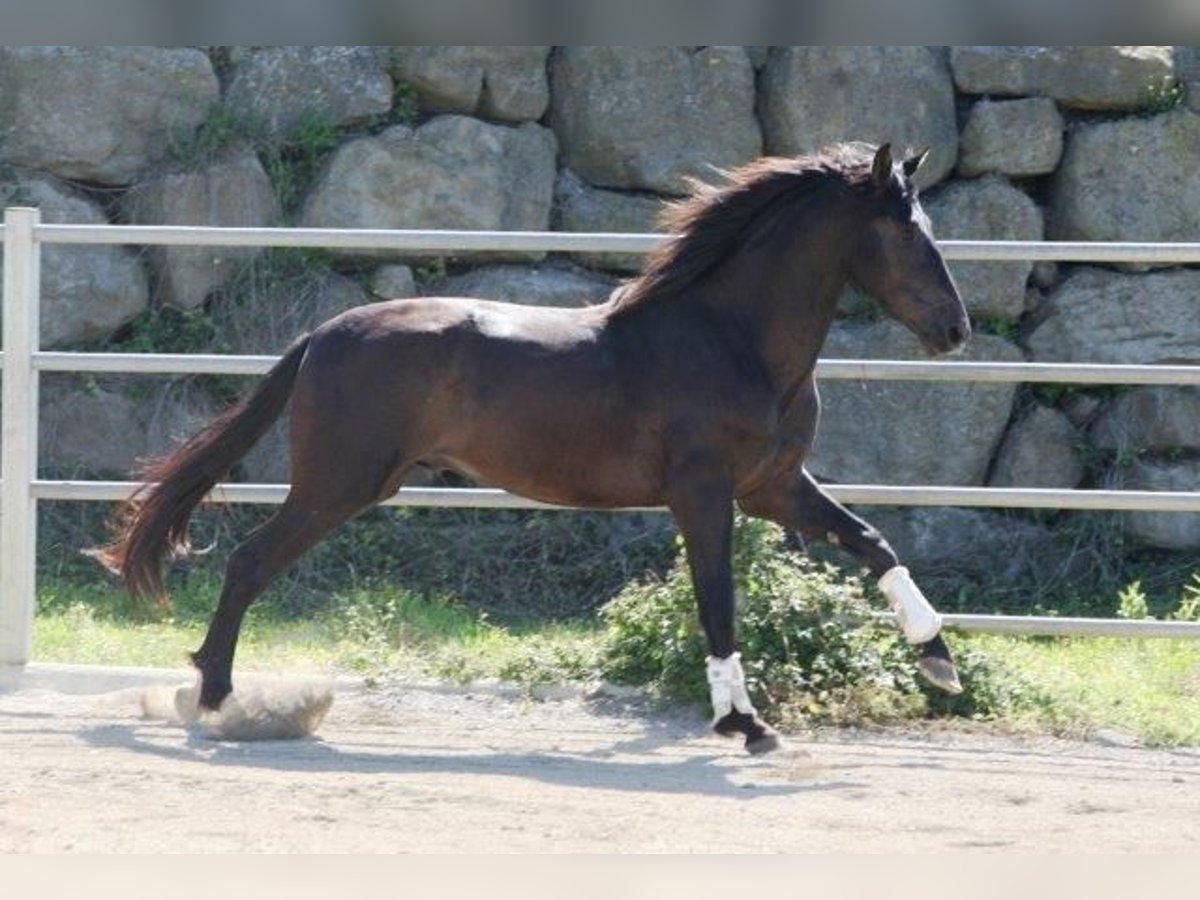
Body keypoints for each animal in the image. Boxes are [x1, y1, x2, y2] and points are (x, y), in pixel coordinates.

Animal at [96, 144, 974, 758]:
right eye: (905, 232)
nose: (956, 329)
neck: (732, 340)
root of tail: (324, 333)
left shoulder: (774, 486)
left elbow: (873, 542)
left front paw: (939, 661)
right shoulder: (704, 494)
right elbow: (718, 601)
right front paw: (745, 725)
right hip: (338, 484)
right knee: (249, 562)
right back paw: (213, 699)